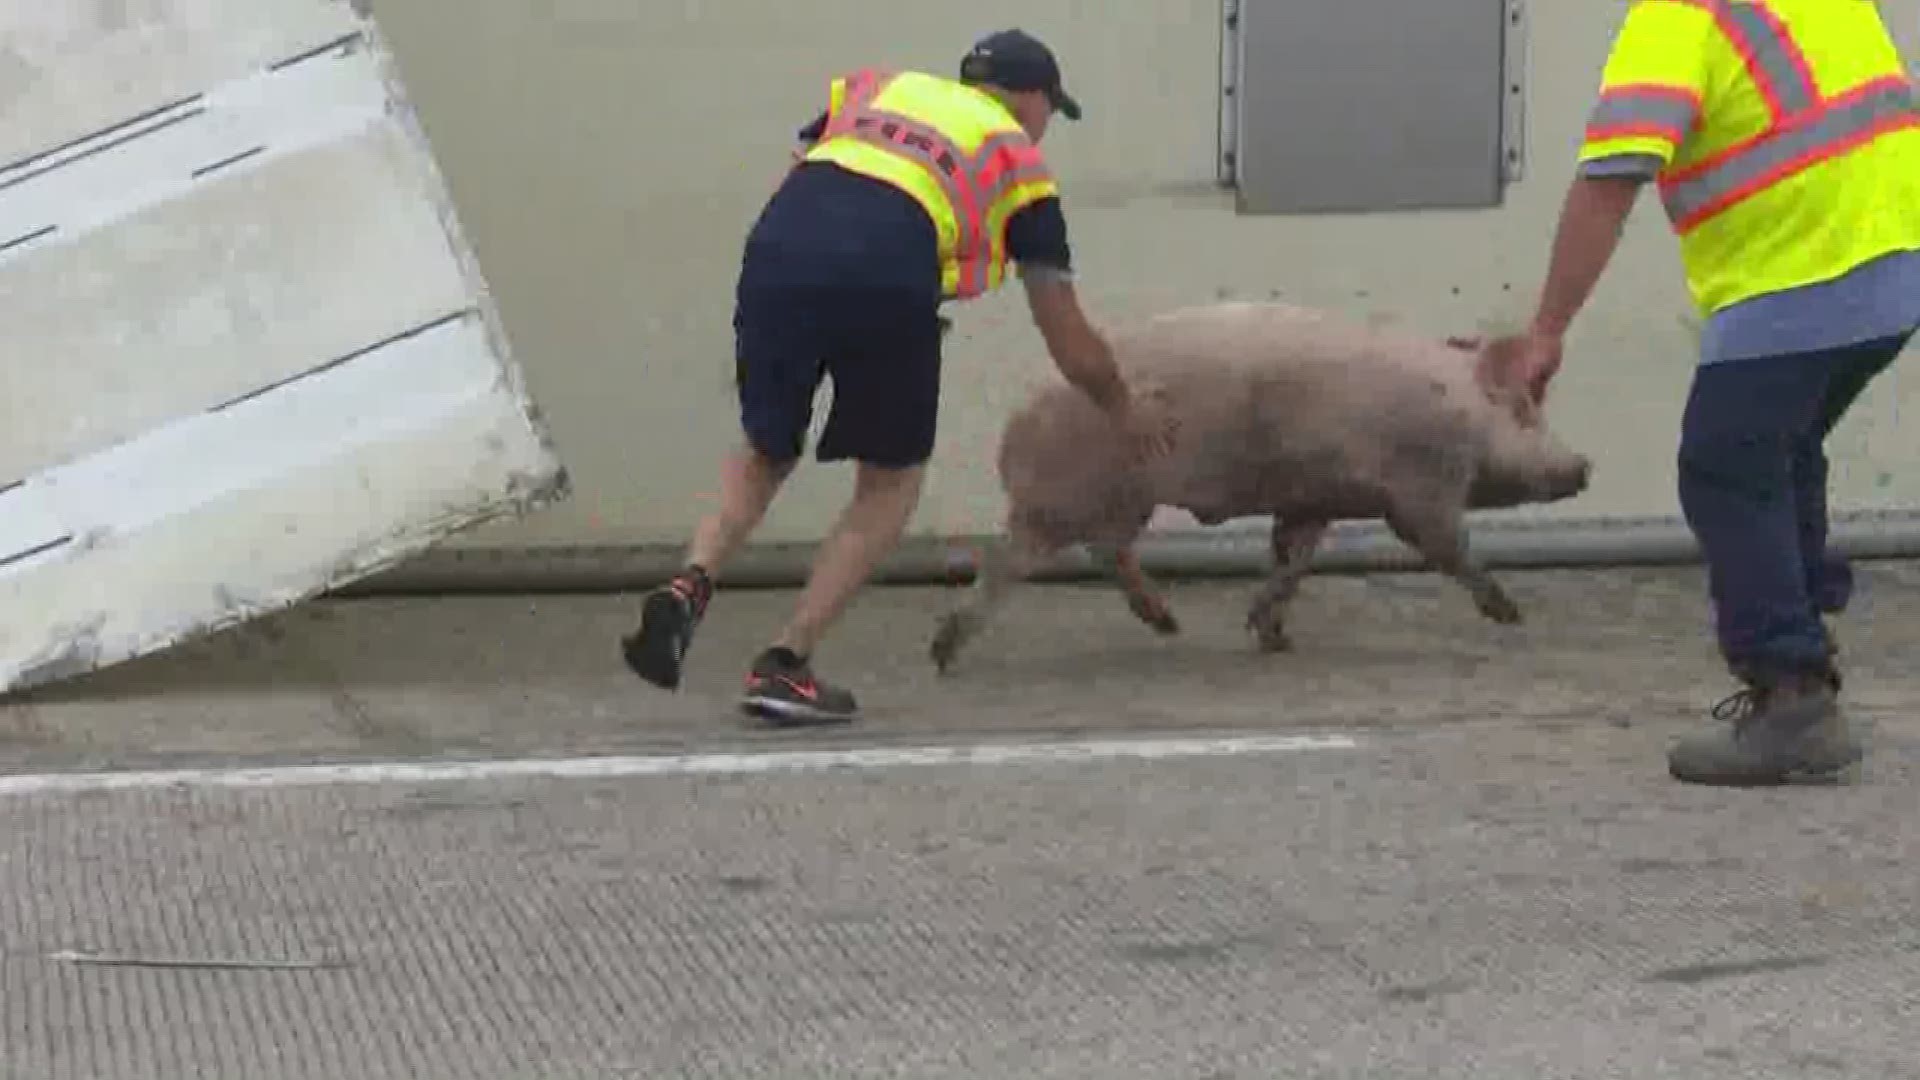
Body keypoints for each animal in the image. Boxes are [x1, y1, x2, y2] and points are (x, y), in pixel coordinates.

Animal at [929, 297, 1589, 668]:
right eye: (1525, 413)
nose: (1584, 465)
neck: (1462, 415)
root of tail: (1014, 426)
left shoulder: (1311, 498)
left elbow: (1292, 559)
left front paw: (1272, 637)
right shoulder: (1421, 488)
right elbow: (1447, 548)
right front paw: (1511, 614)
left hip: (1121, 501)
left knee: (1107, 550)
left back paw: (1168, 623)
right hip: (1061, 502)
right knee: (1007, 561)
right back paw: (944, 652)